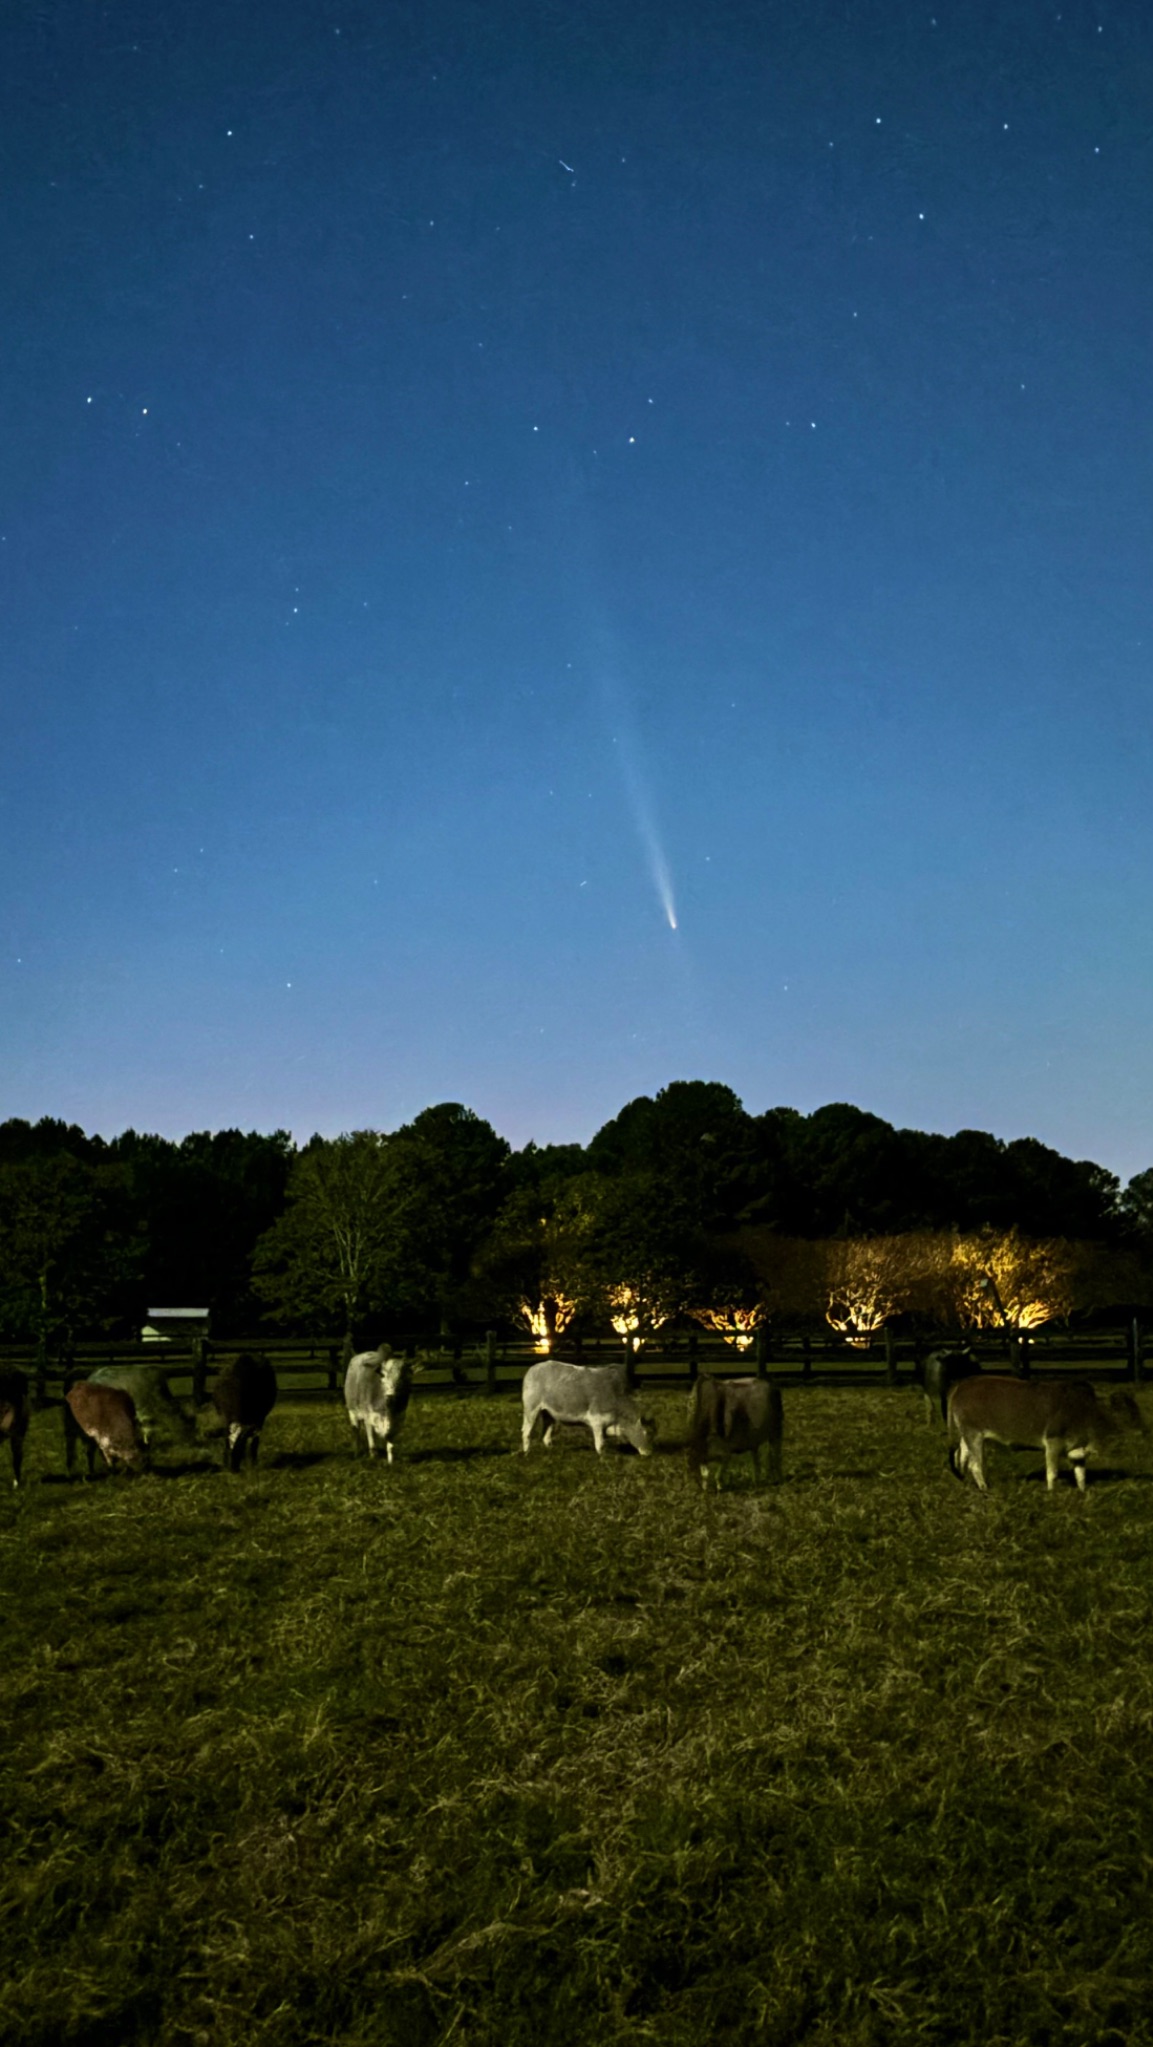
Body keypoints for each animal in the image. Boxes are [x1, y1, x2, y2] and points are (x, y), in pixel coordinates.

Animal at [209, 1342, 276, 1473]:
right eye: (227, 1445)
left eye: (240, 1447)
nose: (232, 1469)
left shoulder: (259, 1418)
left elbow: (254, 1442)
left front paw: (252, 1462)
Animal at [524, 1359, 659, 1457]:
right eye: (647, 1433)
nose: (649, 1453)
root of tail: (533, 1368)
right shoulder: (596, 1421)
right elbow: (600, 1443)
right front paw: (602, 1456)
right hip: (531, 1410)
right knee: (526, 1431)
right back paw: (526, 1452)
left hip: (548, 1413)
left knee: (546, 1431)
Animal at [946, 1375, 1146, 1490]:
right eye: (1128, 1412)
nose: (1143, 1430)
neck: (1088, 1411)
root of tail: (962, 1385)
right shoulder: (1053, 1442)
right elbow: (1052, 1473)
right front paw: (1051, 1494)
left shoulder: (1078, 1450)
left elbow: (1081, 1476)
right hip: (974, 1434)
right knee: (975, 1465)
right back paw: (984, 1489)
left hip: (967, 1435)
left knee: (960, 1456)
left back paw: (965, 1482)